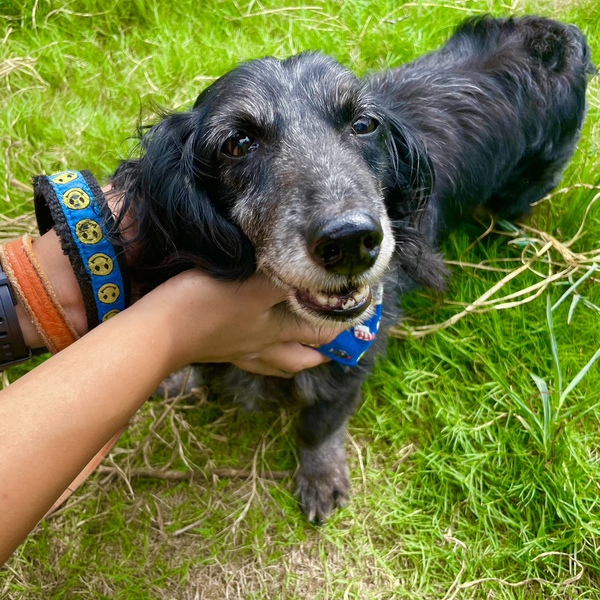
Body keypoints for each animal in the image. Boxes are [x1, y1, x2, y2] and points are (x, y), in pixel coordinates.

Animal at [111, 16, 594, 523]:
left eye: (364, 124)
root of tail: (553, 34)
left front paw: (321, 476)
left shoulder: (353, 359)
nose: (350, 242)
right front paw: (180, 376)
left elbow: (320, 424)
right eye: (238, 143)